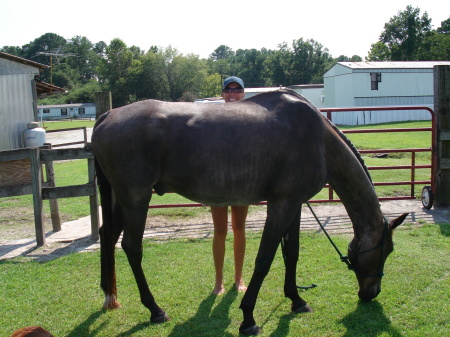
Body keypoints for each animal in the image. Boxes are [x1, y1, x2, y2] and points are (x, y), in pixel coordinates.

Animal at [91, 89, 408, 334]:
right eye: (386, 250)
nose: (371, 293)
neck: (317, 138)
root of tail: (107, 116)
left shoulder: (294, 204)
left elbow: (291, 253)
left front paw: (296, 300)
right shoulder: (281, 205)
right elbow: (264, 259)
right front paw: (248, 318)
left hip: (122, 199)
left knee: (107, 235)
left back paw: (110, 295)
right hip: (136, 198)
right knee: (132, 247)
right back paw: (155, 309)